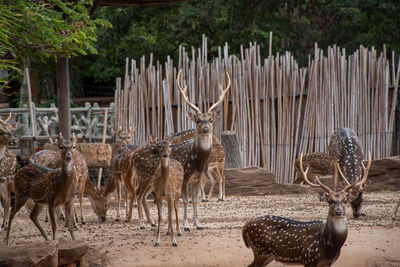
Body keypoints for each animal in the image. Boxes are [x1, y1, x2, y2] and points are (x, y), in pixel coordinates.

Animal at [172, 70, 231, 231]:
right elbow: (186, 200)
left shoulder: (198, 178)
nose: (205, 128)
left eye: (210, 120)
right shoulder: (185, 176)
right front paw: (186, 225)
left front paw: (198, 223)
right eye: (198, 120)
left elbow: (195, 200)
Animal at [244, 153, 372, 267]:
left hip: (268, 255)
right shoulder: (309, 257)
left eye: (345, 200)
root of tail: (245, 226)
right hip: (261, 250)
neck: (329, 246)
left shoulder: (328, 263)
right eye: (329, 201)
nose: (338, 212)